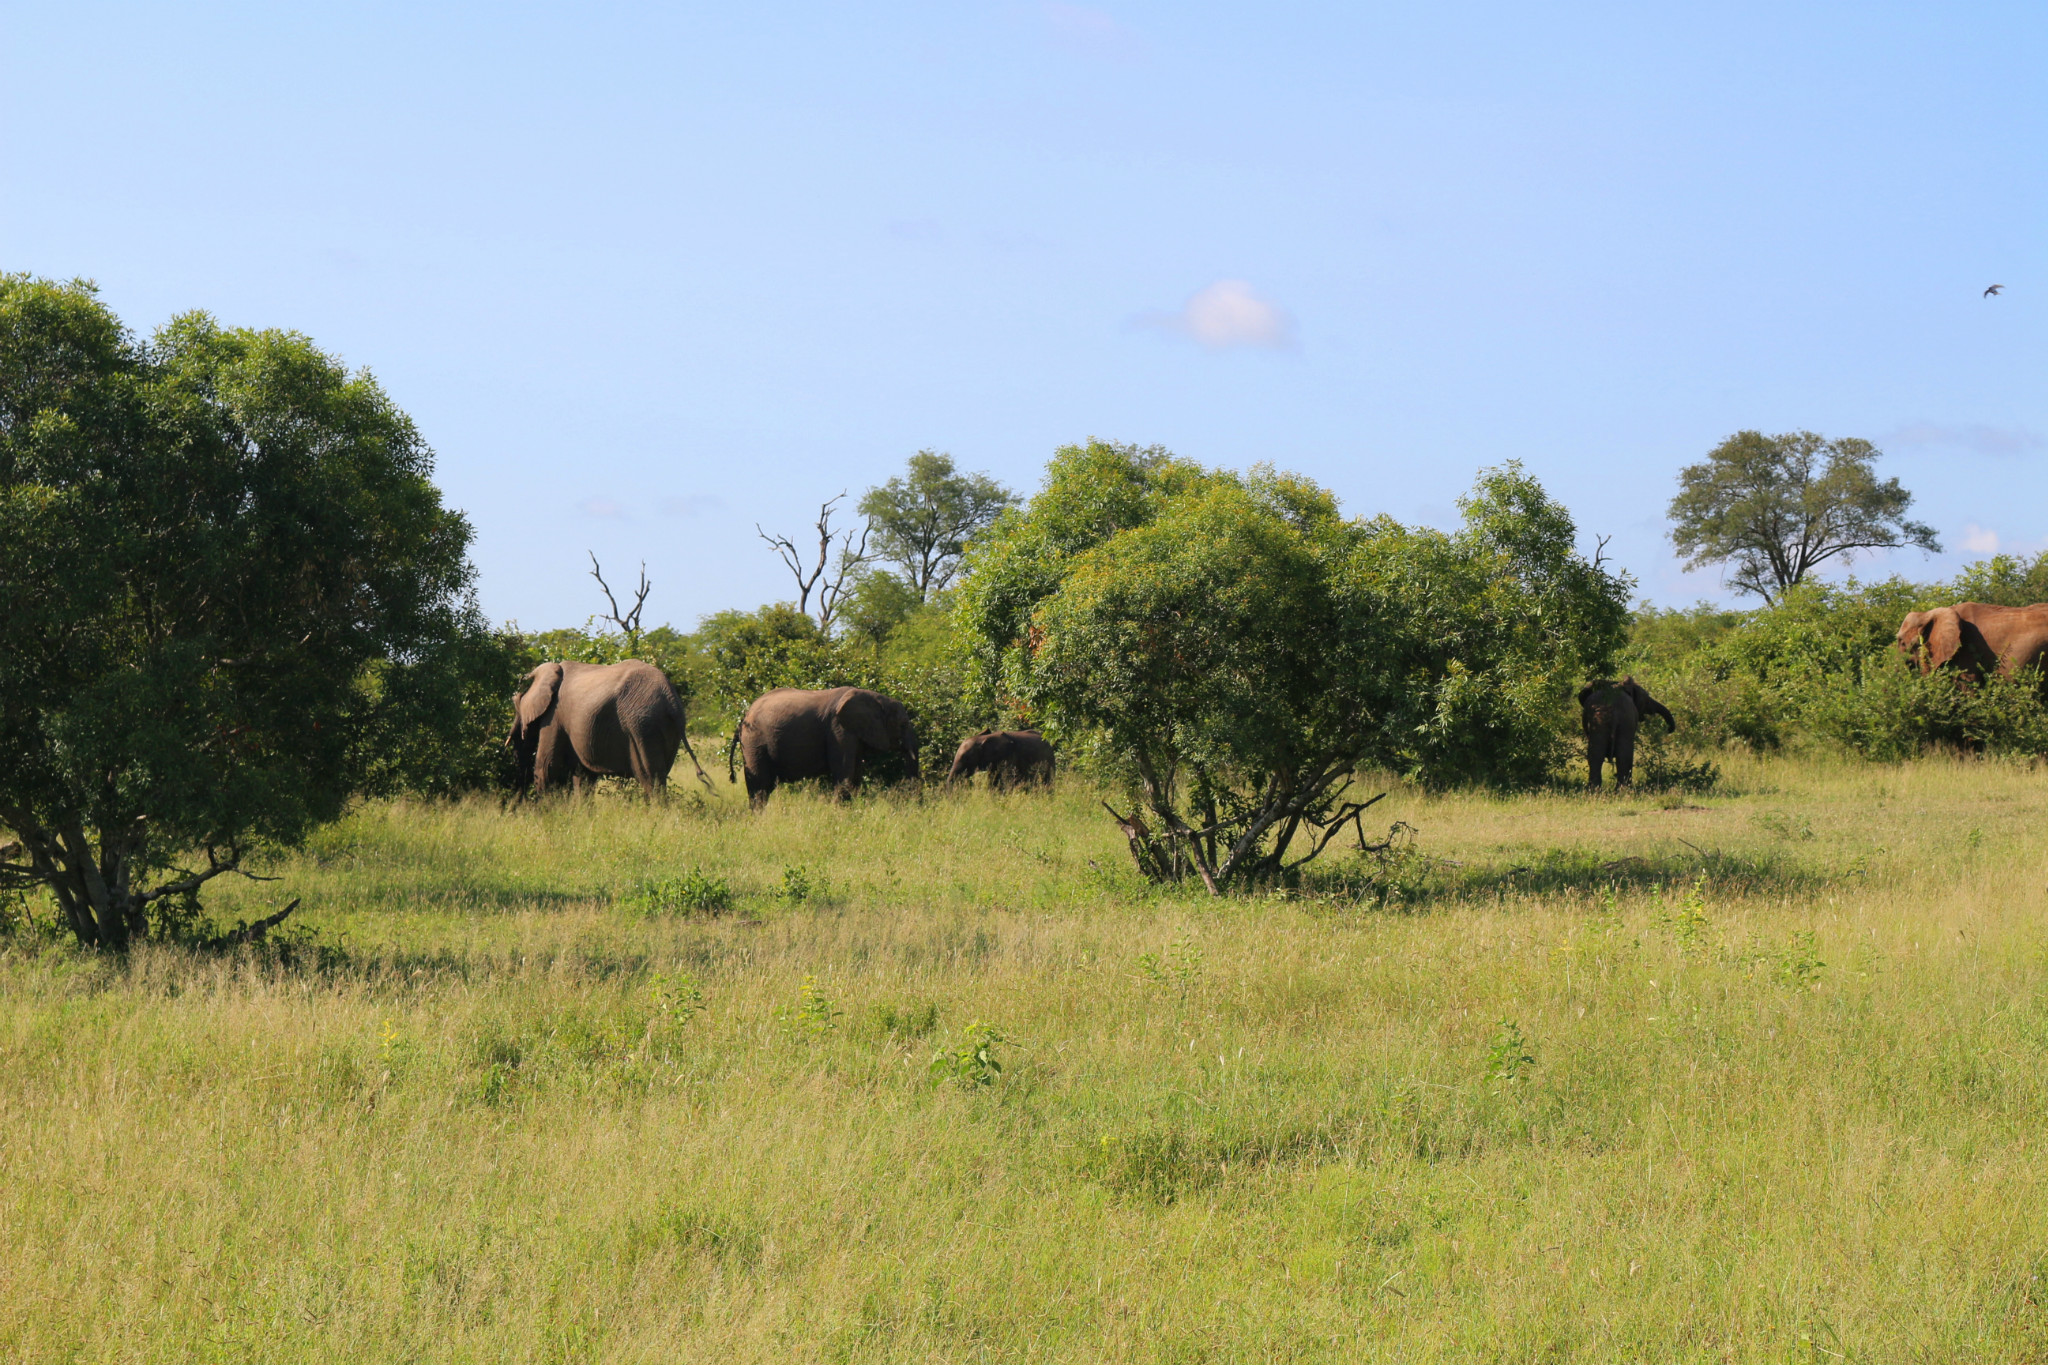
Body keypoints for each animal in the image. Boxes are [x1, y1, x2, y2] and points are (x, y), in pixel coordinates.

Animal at [505, 663, 712, 802]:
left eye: (516, 706)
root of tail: (672, 699)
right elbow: (583, 776)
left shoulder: (554, 716)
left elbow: (547, 767)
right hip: (666, 729)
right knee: (659, 776)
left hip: (642, 726)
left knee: (651, 780)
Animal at [729, 687, 921, 806]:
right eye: (903, 725)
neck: (874, 698)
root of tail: (743, 717)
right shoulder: (838, 730)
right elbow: (844, 774)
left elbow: (855, 776)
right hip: (754, 742)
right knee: (760, 787)